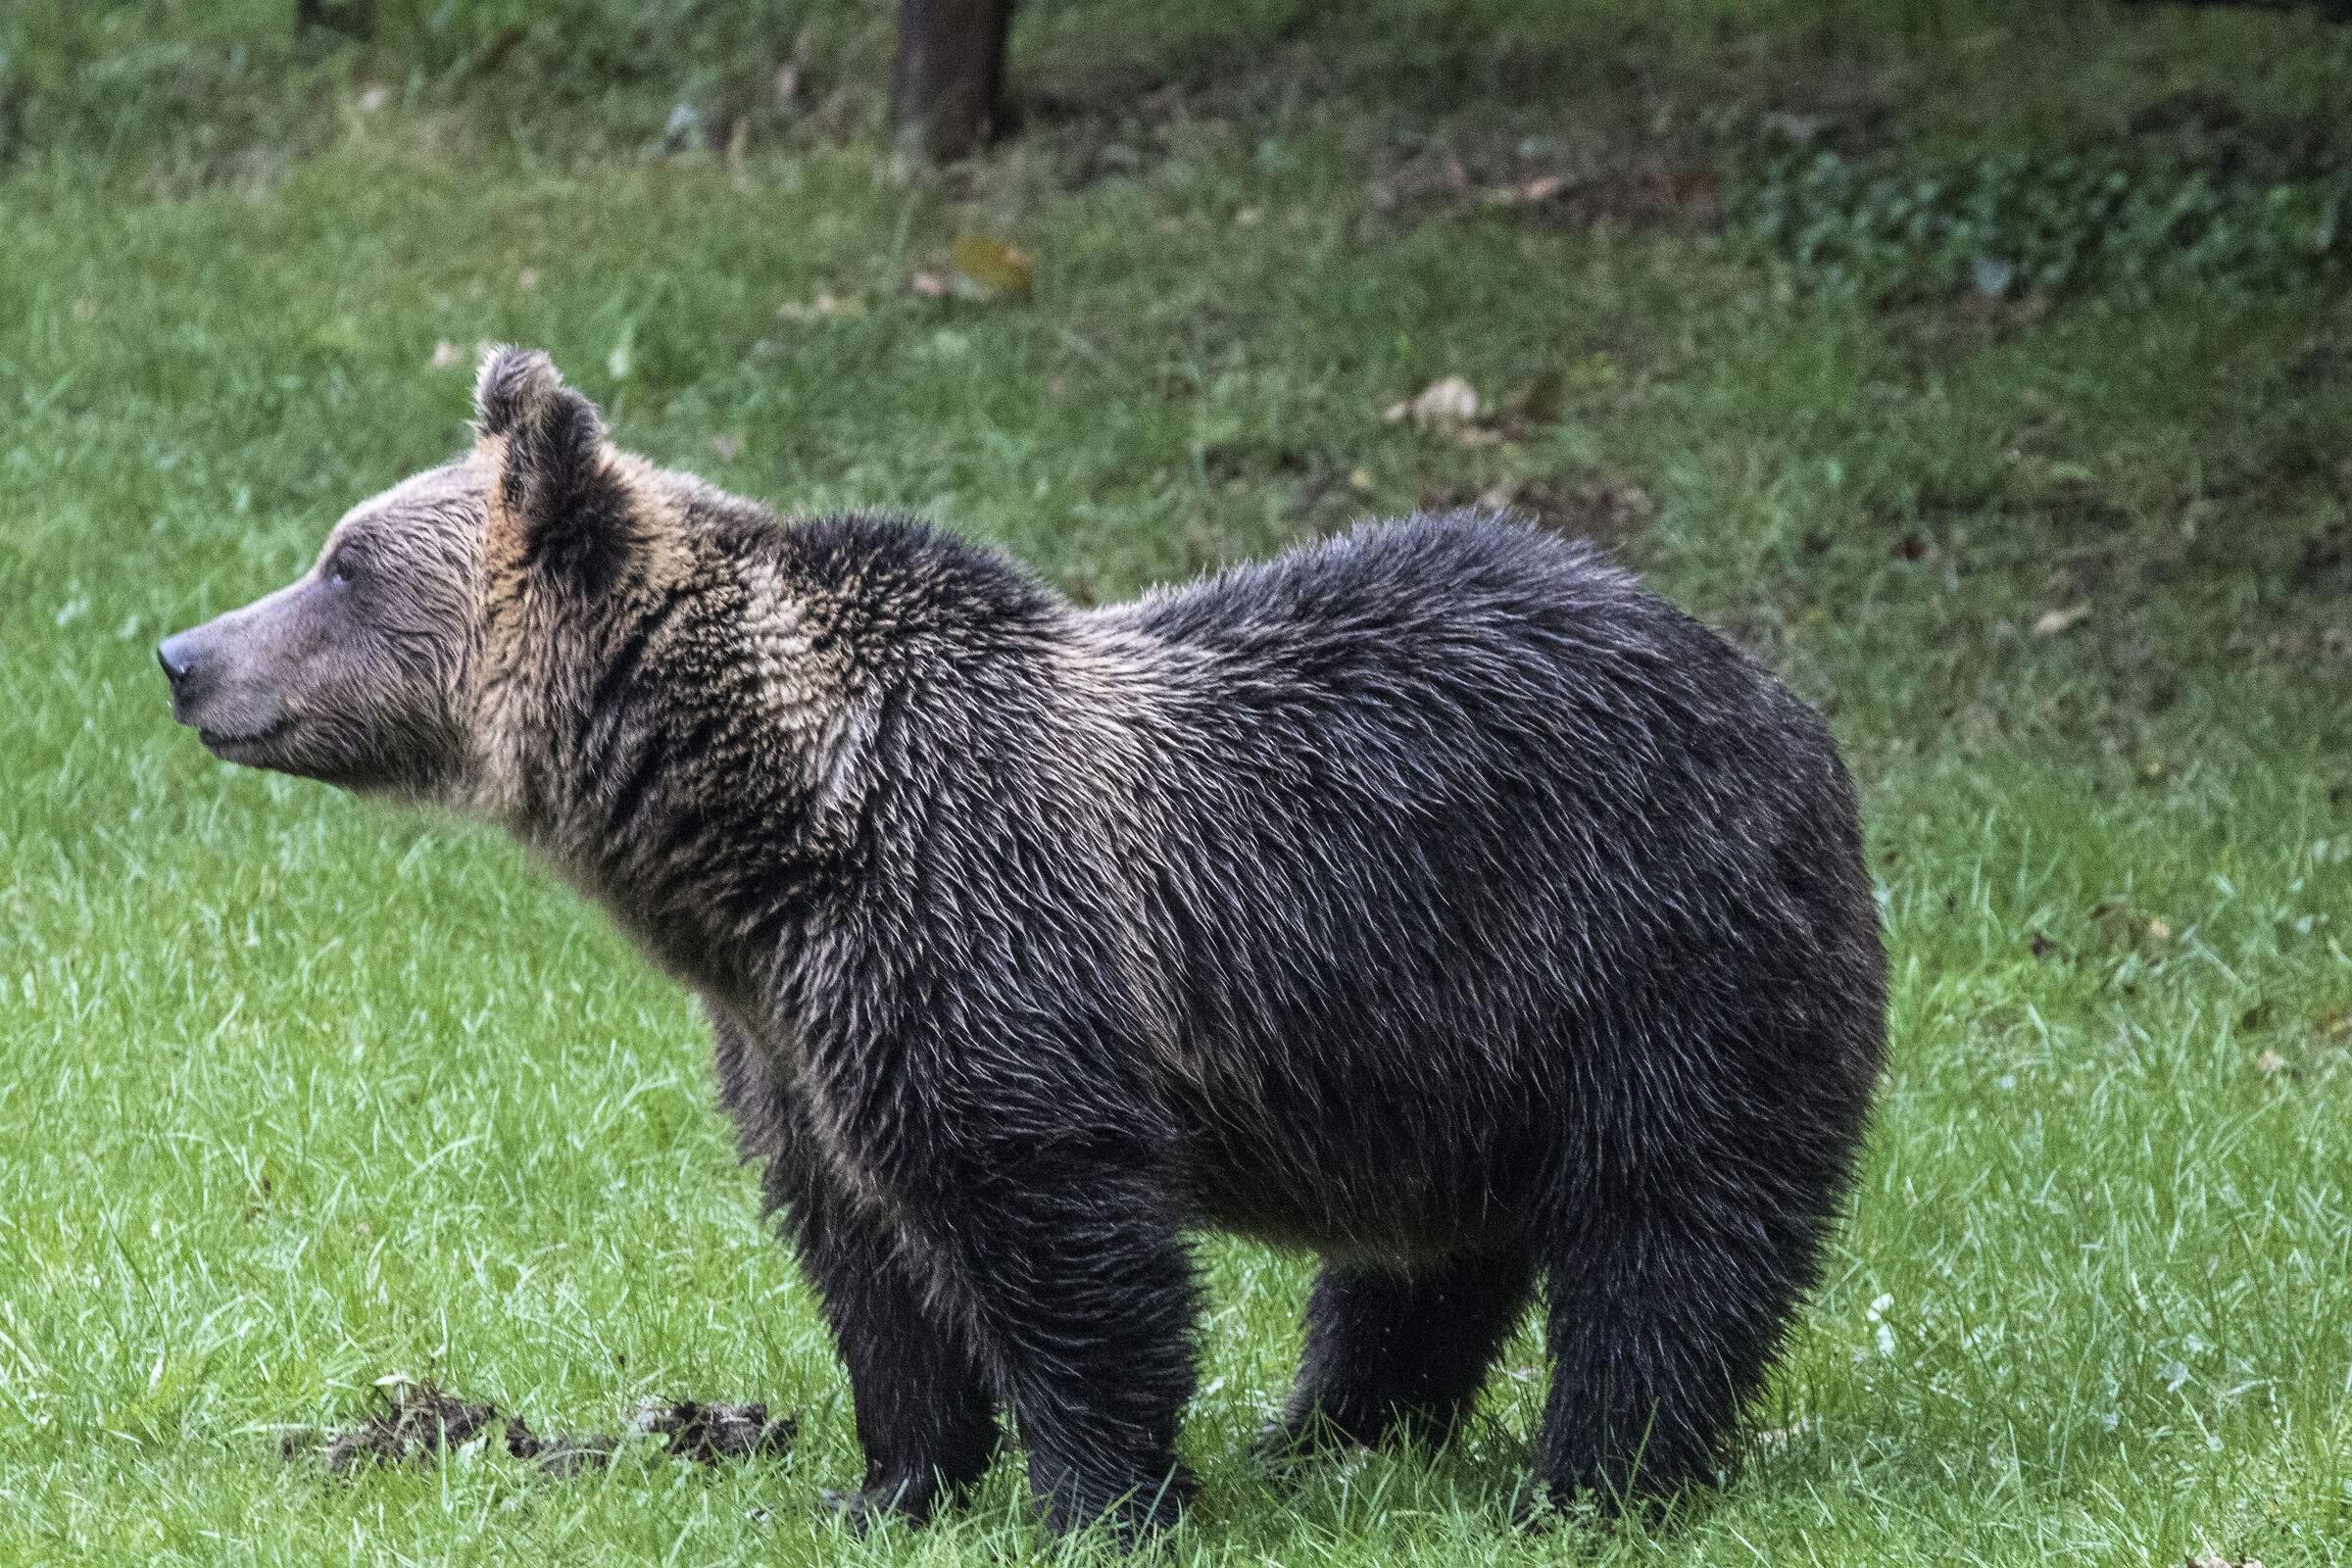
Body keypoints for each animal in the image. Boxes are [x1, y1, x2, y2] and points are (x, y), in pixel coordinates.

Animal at [158, 347, 1887, 1539]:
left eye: (343, 565)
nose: (182, 653)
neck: (763, 834)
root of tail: (1792, 712)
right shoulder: (794, 1028)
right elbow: (863, 1255)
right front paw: (888, 1482)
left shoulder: (971, 934)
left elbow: (1044, 1223)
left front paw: (1103, 1497)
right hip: (1456, 1044)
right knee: (1422, 1256)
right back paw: (1329, 1431)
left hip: (1649, 951)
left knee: (1669, 1235)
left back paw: (1589, 1478)